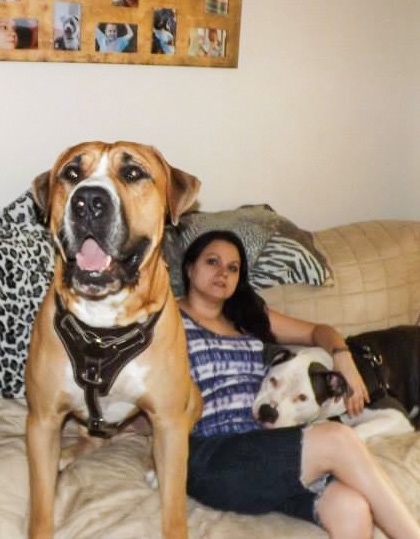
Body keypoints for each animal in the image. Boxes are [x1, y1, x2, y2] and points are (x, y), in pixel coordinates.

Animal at [25, 140, 203, 539]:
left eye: (133, 173)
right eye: (72, 173)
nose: (88, 200)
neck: (101, 329)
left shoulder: (168, 418)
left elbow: (174, 510)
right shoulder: (41, 420)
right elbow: (41, 508)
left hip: (188, 402)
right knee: (89, 439)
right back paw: (67, 455)